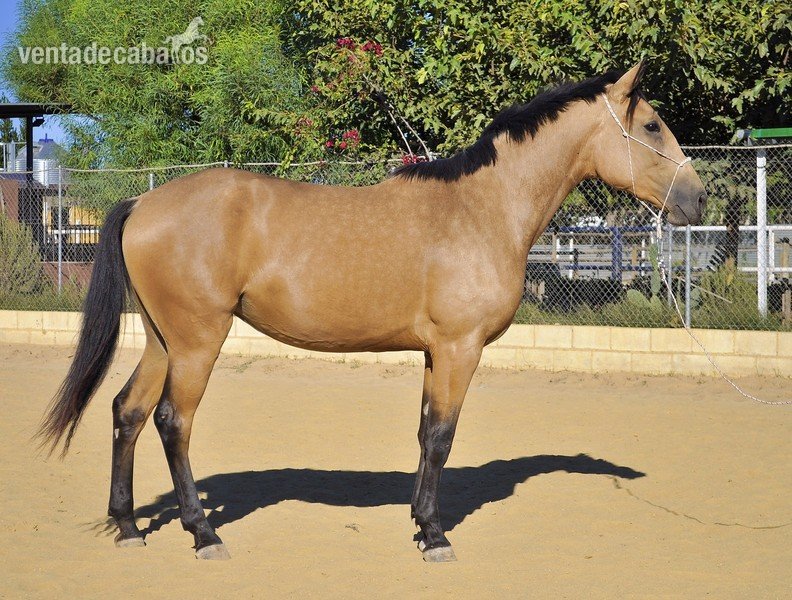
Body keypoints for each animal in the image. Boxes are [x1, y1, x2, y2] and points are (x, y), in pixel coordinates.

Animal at [38, 63, 707, 562]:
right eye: (651, 125)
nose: (698, 200)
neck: (480, 208)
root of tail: (144, 202)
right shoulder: (460, 349)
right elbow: (441, 436)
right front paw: (435, 536)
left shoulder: (437, 353)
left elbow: (425, 433)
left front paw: (419, 522)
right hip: (198, 341)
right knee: (173, 422)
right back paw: (203, 533)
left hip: (163, 340)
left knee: (128, 411)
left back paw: (128, 527)